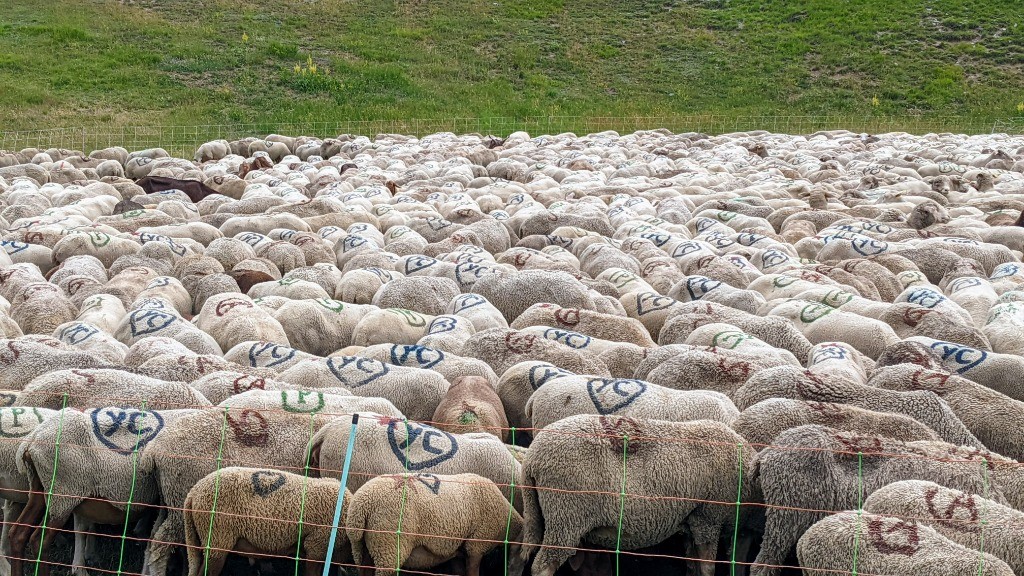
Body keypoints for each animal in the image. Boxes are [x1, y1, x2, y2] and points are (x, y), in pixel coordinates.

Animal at [516, 414, 757, 573]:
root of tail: (532, 459)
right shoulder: (708, 518)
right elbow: (707, 566)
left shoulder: (694, 522)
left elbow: (695, 565)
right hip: (566, 515)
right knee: (544, 565)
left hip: (550, 515)